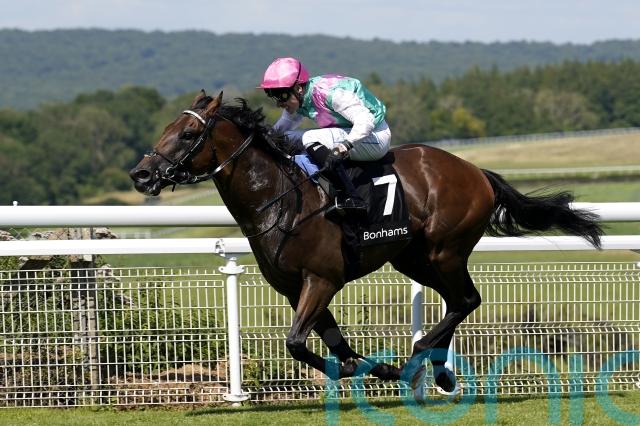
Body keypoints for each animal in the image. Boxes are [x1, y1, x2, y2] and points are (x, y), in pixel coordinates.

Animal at [129, 91, 602, 392]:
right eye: (167, 128)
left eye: (187, 135)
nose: (141, 174)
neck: (279, 200)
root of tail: (475, 171)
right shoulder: (294, 288)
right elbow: (333, 345)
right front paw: (367, 368)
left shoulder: (321, 279)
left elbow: (296, 343)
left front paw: (380, 369)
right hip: (413, 258)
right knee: (457, 301)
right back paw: (437, 370)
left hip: (445, 250)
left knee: (466, 300)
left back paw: (419, 359)